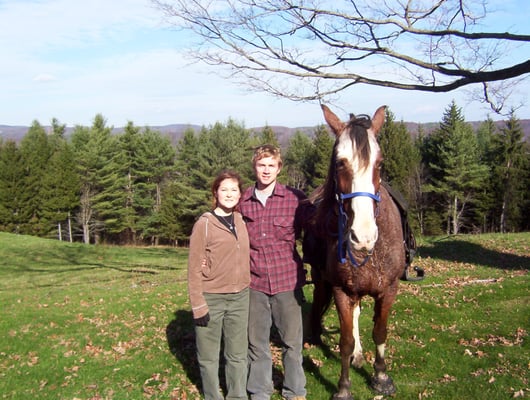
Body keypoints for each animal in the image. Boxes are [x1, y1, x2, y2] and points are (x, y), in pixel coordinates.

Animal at [304, 104, 402, 400]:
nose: (363, 237)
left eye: (379, 164)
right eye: (340, 163)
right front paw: (344, 387)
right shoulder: (342, 290)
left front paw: (381, 376)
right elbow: (346, 340)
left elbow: (380, 332)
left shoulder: (389, 289)